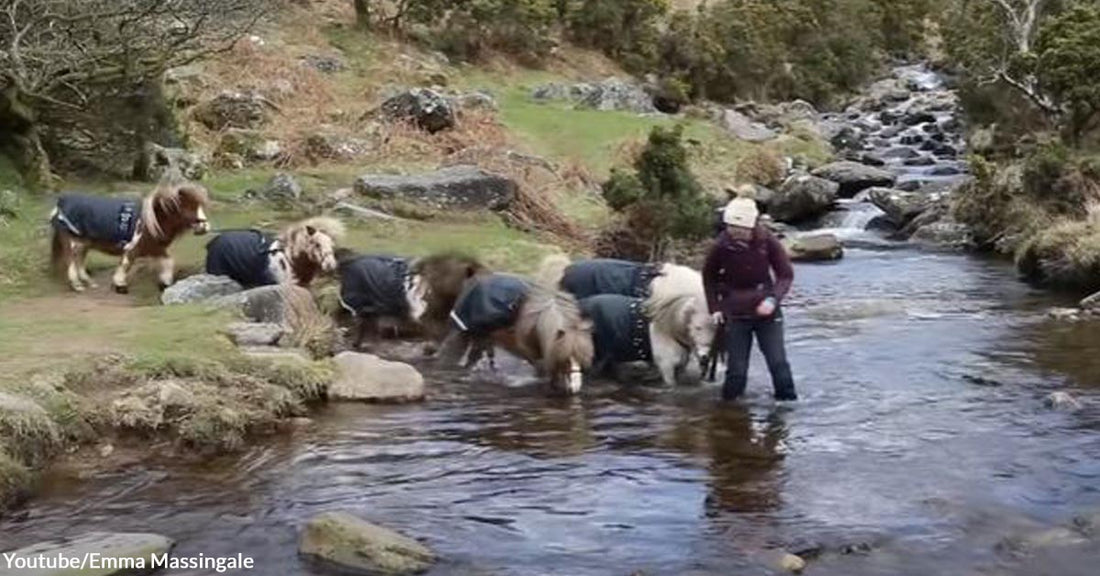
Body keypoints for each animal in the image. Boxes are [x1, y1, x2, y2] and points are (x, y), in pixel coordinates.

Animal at [50, 181, 210, 293]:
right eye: (189, 208)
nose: (205, 227)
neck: (152, 221)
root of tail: (58, 206)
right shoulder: (133, 247)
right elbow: (126, 264)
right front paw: (120, 285)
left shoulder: (154, 248)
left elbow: (168, 262)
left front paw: (164, 283)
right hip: (73, 242)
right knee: (71, 262)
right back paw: (77, 285)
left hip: (84, 244)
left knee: (79, 261)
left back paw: (88, 282)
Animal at [439, 274, 594, 395]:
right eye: (566, 359)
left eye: (583, 358)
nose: (575, 388)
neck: (539, 321)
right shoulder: (537, 356)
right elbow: (543, 375)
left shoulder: (548, 351)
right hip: (465, 336)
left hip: (483, 340)